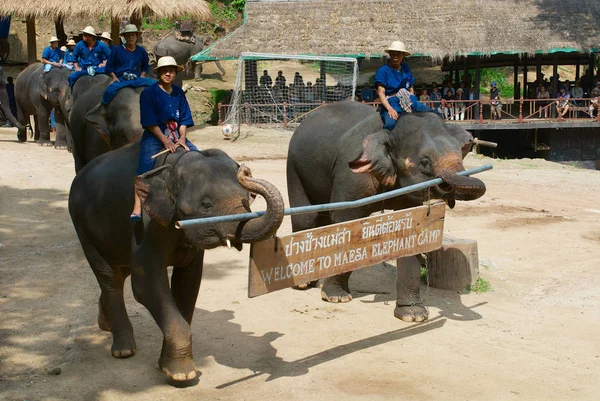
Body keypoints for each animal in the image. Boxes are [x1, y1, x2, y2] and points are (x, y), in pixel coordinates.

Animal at [69, 145, 284, 382]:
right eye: (206, 204)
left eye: (247, 198)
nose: (245, 170)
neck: (172, 166)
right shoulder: (145, 225)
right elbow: (145, 285)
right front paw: (183, 375)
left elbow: (188, 284)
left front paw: (166, 365)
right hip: (82, 226)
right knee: (109, 277)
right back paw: (124, 350)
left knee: (120, 272)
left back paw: (105, 324)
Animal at [286, 101, 488, 322]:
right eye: (425, 162)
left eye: (461, 154)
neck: (391, 131)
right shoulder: (351, 173)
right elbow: (346, 218)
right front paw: (336, 298)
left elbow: (411, 232)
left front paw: (413, 315)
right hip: (294, 166)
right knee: (307, 219)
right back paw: (303, 283)